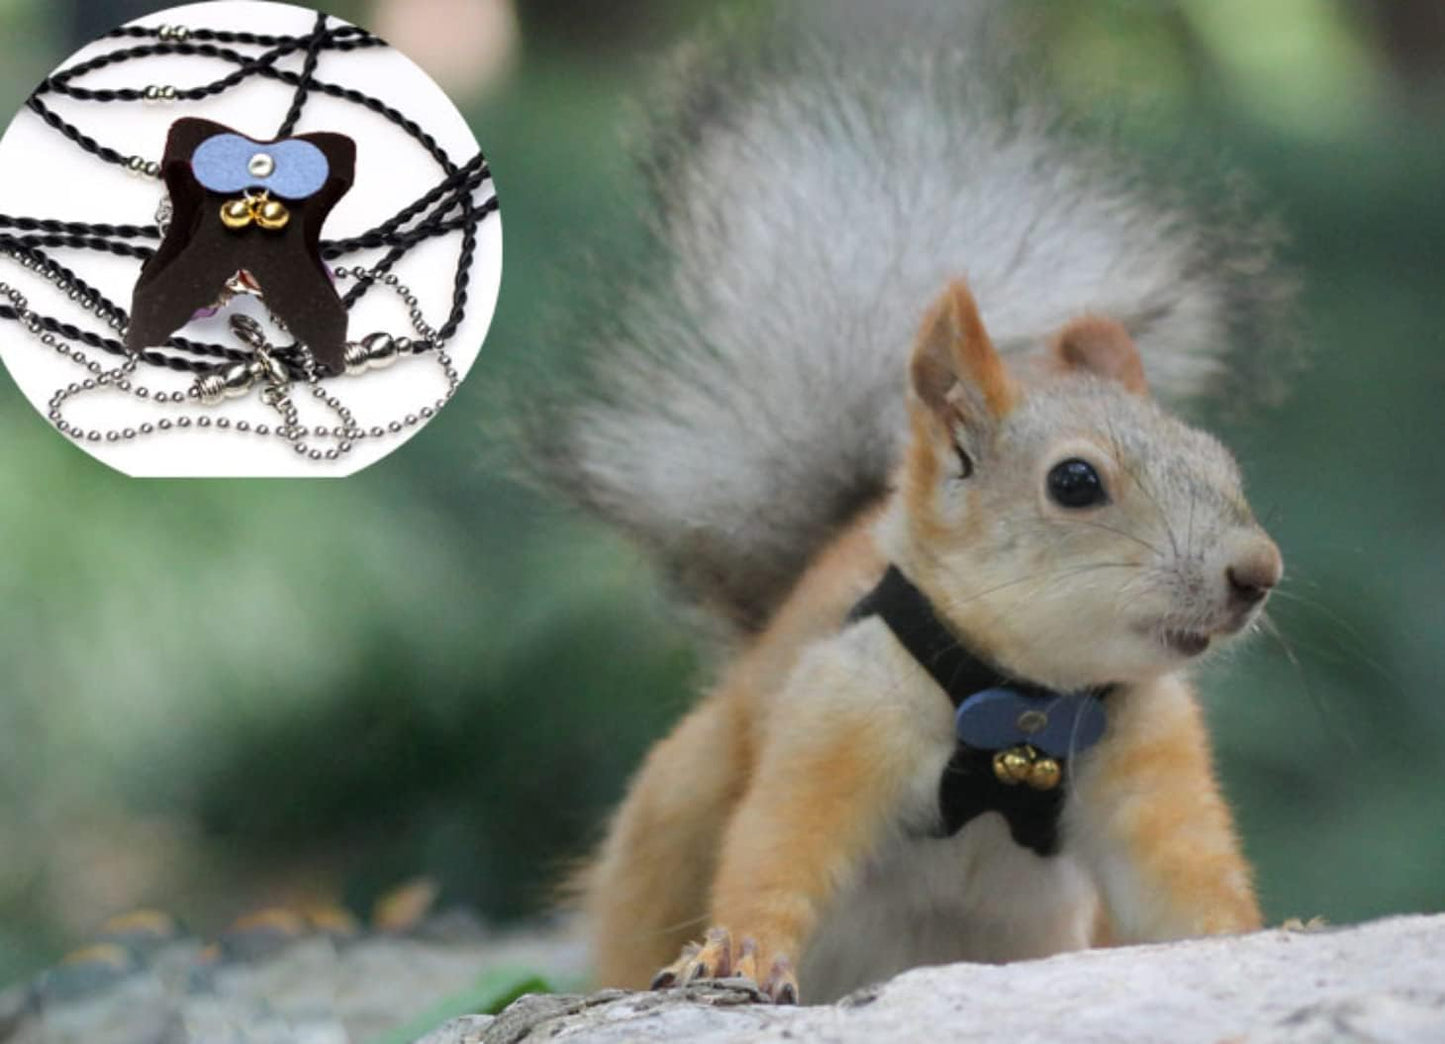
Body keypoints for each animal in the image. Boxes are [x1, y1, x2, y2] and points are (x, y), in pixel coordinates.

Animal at [522, 2, 1297, 1007]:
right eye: (1074, 483)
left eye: (1218, 459)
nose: (1256, 574)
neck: (1023, 707)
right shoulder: (837, 712)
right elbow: (780, 843)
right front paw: (742, 952)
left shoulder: (1148, 760)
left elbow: (1188, 887)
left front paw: (1274, 934)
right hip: (673, 809)